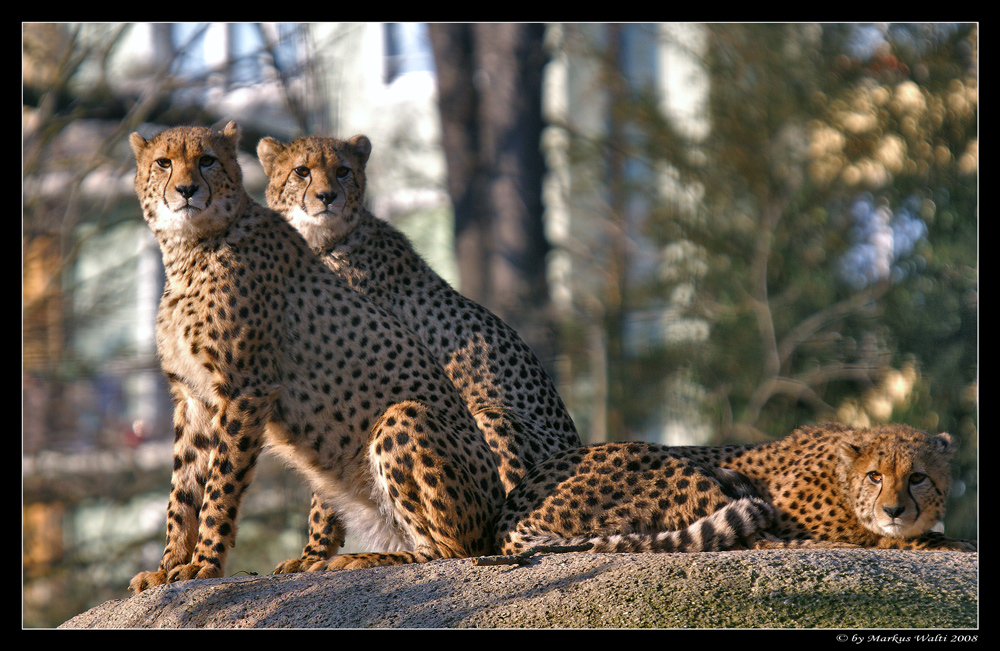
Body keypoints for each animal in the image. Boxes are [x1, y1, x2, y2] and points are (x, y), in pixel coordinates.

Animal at [128, 123, 508, 596]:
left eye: (207, 161)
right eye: (164, 162)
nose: (185, 189)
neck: (191, 247)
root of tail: (498, 513)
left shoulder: (246, 391)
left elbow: (220, 486)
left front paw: (205, 565)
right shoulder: (192, 397)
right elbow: (182, 492)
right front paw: (167, 568)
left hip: (404, 417)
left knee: (450, 551)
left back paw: (357, 560)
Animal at [258, 135, 584, 572]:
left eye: (342, 170)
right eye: (301, 171)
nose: (328, 196)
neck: (321, 243)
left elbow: (322, 495)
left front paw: (314, 554)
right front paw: (310, 555)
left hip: (490, 417)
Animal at [500, 426, 976, 556]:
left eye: (917, 477)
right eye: (876, 476)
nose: (894, 510)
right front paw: (938, 539)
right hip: (669, 462)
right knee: (753, 537)